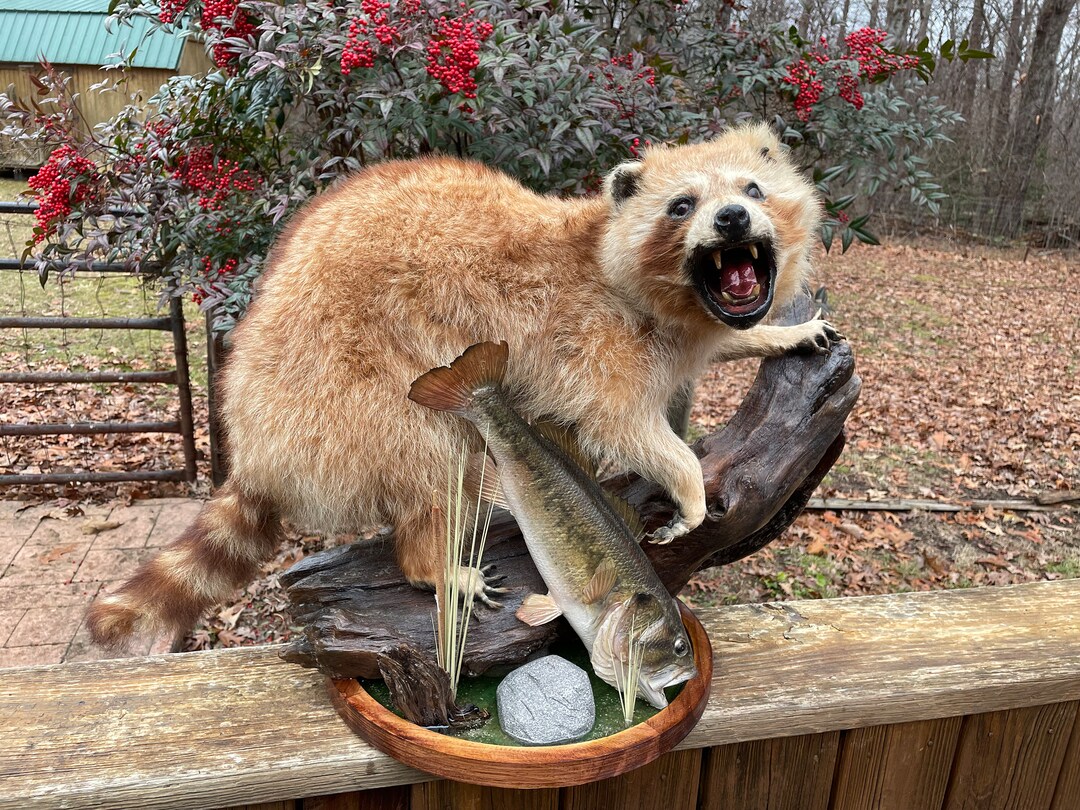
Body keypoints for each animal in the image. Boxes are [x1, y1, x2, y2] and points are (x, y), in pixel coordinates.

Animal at [87, 122, 840, 647]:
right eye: (682, 205)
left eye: (752, 190)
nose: (732, 219)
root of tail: (252, 434)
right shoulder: (595, 341)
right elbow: (624, 427)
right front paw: (685, 482)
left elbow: (723, 346)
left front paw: (777, 333)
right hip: (341, 386)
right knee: (431, 453)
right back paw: (431, 559)